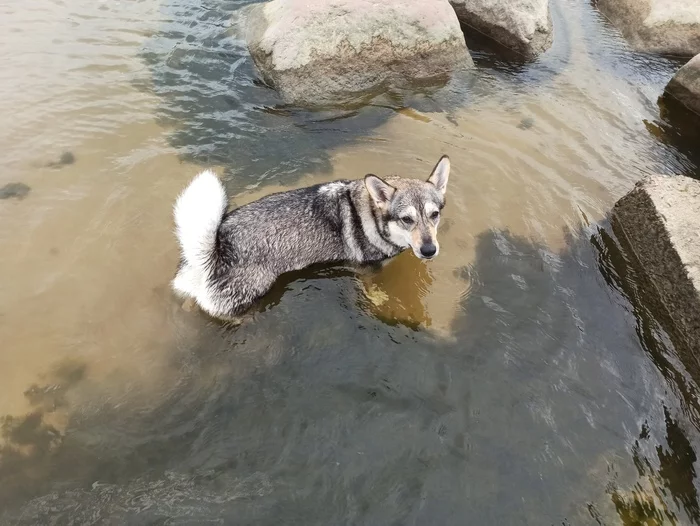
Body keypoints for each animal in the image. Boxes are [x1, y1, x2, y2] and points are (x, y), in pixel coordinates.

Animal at [172, 156, 452, 322]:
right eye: (406, 219)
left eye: (434, 215)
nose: (429, 250)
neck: (371, 216)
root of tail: (217, 248)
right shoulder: (365, 269)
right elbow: (372, 289)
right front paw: (380, 300)